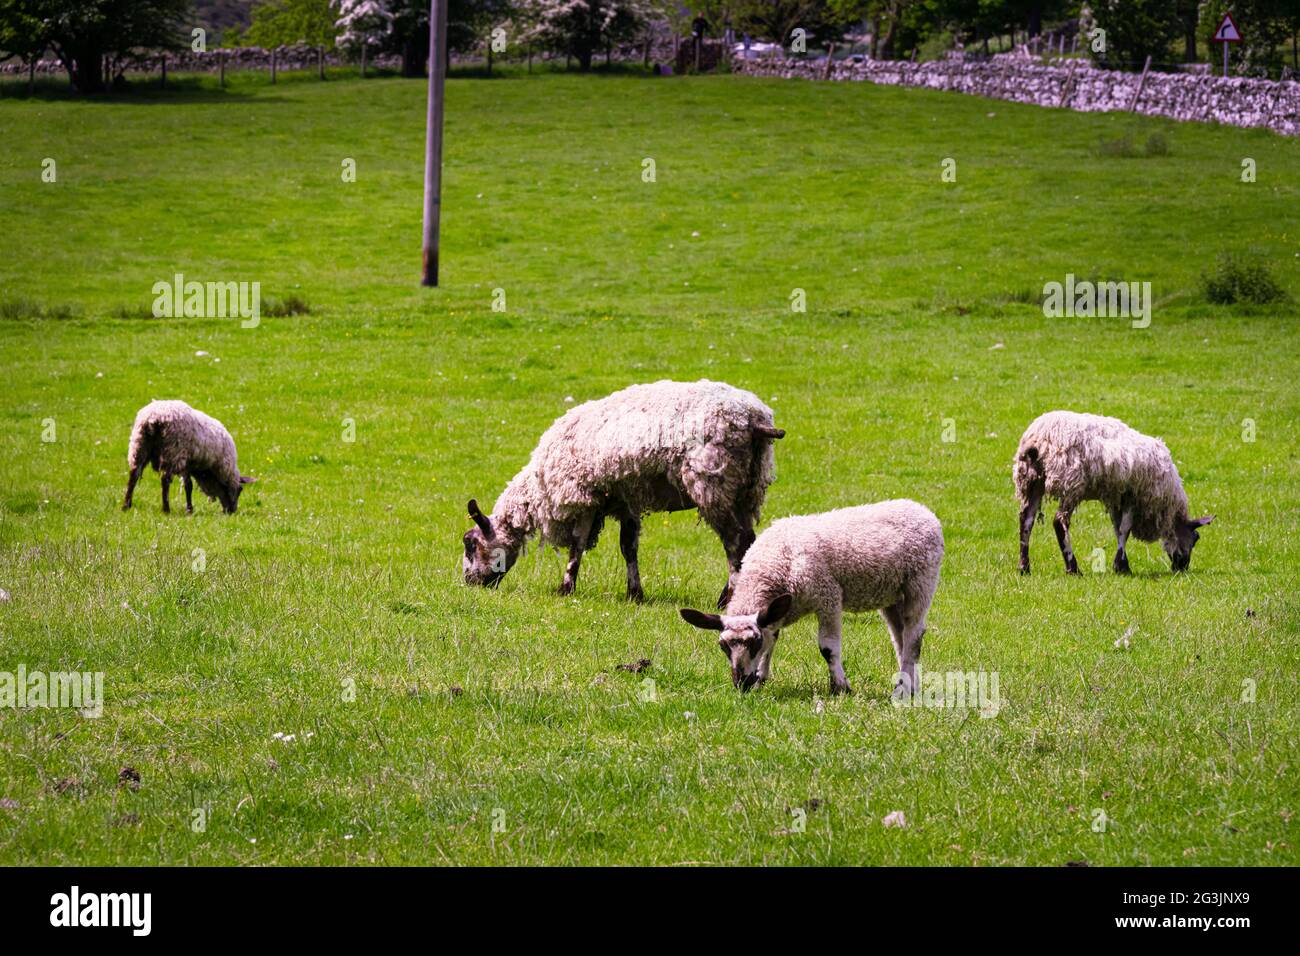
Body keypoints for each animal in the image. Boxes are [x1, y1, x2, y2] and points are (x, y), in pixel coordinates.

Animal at [122, 398, 256, 515]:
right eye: (240, 490)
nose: (232, 512)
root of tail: (153, 418)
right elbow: (188, 486)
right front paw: (190, 509)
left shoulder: (187, 465)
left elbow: (188, 485)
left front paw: (189, 509)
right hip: (172, 451)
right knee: (165, 480)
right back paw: (166, 509)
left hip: (139, 445)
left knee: (133, 475)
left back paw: (126, 506)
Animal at [462, 377, 780, 600]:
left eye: (471, 544)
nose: (469, 583)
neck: (538, 487)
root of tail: (753, 418)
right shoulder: (626, 499)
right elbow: (628, 547)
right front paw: (634, 594)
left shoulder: (583, 496)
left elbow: (577, 545)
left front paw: (566, 588)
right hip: (746, 489)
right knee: (748, 540)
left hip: (713, 483)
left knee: (735, 541)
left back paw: (726, 598)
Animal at [676, 502, 941, 697]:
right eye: (723, 646)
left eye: (754, 642)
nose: (741, 683)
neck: (774, 563)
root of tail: (923, 510)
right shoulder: (777, 610)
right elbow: (773, 640)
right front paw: (761, 679)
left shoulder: (828, 596)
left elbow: (828, 648)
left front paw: (840, 688)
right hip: (892, 595)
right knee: (900, 637)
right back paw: (910, 684)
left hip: (921, 581)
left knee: (914, 636)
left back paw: (902, 690)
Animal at [1008, 411, 1211, 574]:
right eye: (1195, 539)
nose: (1182, 568)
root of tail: (1036, 440)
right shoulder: (1133, 495)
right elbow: (1125, 529)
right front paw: (1122, 566)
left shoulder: (1117, 497)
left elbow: (1117, 528)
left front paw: (1121, 564)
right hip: (1070, 482)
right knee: (1059, 521)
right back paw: (1073, 568)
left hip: (1032, 481)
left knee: (1026, 520)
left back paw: (1024, 567)